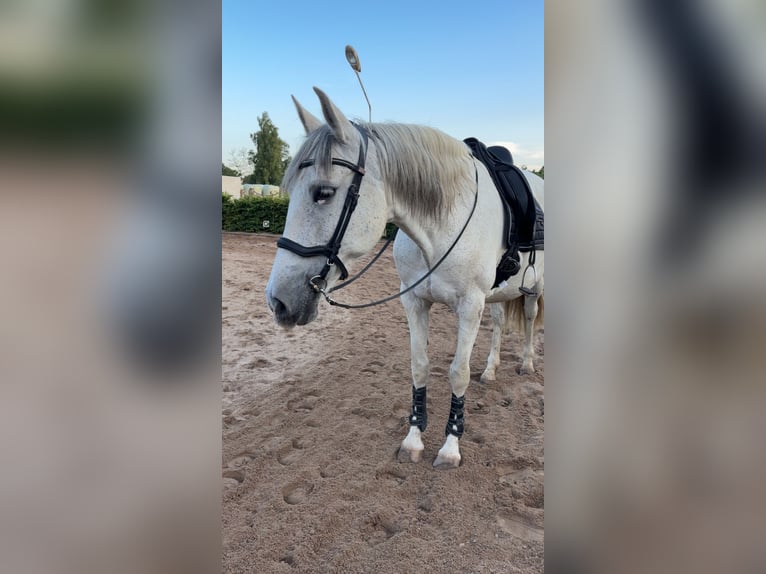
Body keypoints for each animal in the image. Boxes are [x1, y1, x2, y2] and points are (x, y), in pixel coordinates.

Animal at [266, 87, 544, 468]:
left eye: (323, 192)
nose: (278, 301)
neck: (442, 225)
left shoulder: (470, 306)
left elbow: (458, 372)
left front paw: (450, 447)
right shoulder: (414, 301)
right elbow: (419, 366)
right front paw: (413, 440)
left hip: (533, 289)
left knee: (529, 319)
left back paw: (527, 363)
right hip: (498, 295)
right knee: (501, 322)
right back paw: (491, 369)